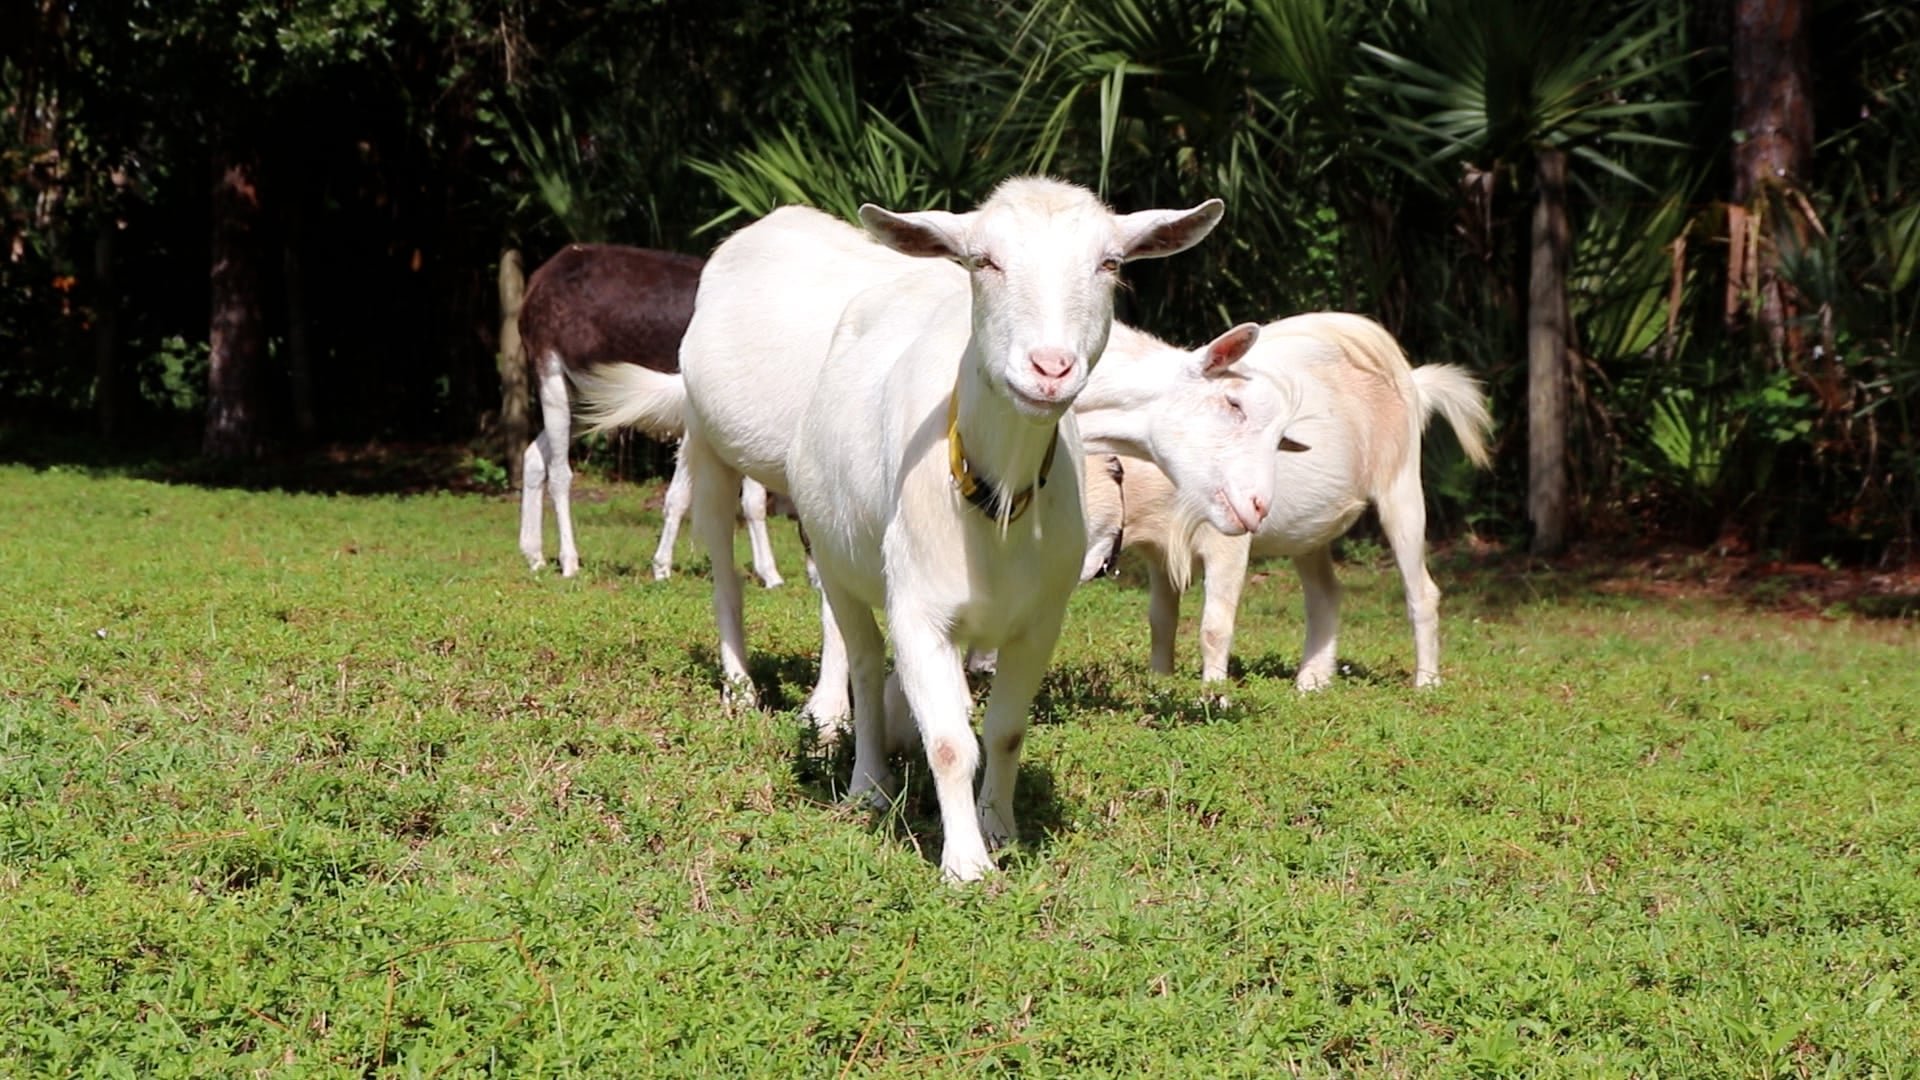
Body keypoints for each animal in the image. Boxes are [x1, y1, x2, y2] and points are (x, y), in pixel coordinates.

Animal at [517, 242, 783, 586]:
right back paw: (569, 563)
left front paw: (770, 575)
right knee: (561, 474)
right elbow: (680, 496)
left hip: (587, 404)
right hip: (552, 381)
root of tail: (546, 272)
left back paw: (534, 557)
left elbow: (754, 501)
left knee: (533, 457)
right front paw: (662, 568)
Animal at [787, 177, 1233, 881]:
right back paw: (869, 785)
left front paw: (999, 829)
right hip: (835, 559)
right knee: (860, 658)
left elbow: (1002, 731)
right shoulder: (918, 609)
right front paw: (965, 865)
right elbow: (949, 742)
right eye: (985, 262)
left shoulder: (1039, 621)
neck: (996, 505)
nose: (1049, 368)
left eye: (1110, 263)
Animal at [1079, 312, 1494, 689]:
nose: (1260, 505)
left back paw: (1426, 683)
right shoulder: (1159, 552)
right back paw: (1312, 681)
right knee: (1325, 592)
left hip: (1402, 483)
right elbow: (1161, 619)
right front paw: (1161, 683)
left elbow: (1214, 627)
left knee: (1421, 591)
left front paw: (1212, 698)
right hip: (1310, 533)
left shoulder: (1226, 543)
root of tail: (1415, 385)